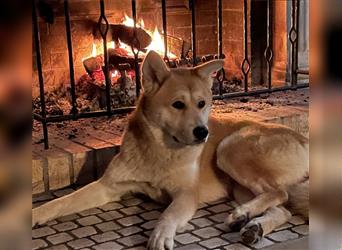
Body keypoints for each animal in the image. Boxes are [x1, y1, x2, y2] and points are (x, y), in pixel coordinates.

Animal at [32, 50, 310, 248]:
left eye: (202, 103)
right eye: (178, 104)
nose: (203, 132)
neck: (159, 150)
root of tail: (305, 140)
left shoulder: (186, 195)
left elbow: (168, 214)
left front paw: (160, 234)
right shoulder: (107, 187)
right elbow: (61, 202)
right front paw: (35, 214)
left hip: (229, 149)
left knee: (279, 193)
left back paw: (244, 214)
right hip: (239, 184)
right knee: (283, 207)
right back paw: (252, 225)